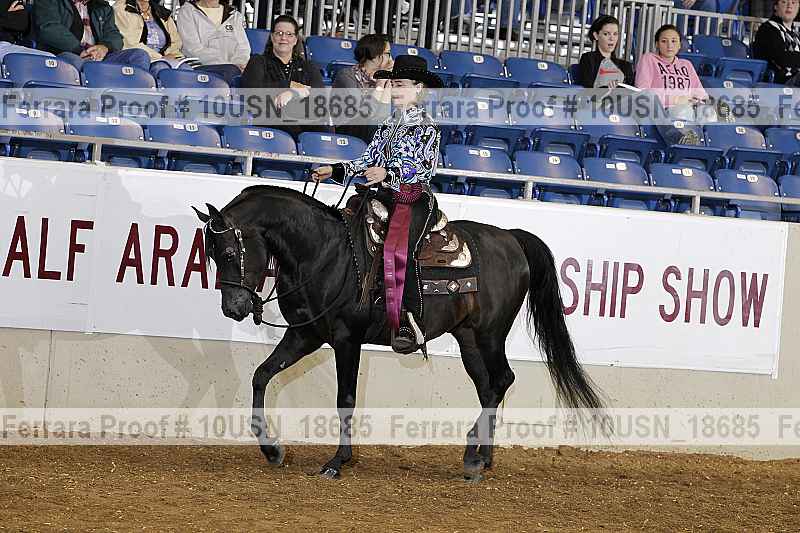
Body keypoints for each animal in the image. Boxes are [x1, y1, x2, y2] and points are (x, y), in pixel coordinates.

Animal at [193, 184, 603, 481]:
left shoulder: (346, 338)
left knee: (502, 379)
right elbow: (261, 375)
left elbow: (345, 398)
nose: (233, 308)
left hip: (490, 333)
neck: (324, 253)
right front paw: (272, 450)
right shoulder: (304, 335)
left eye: (228, 252)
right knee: (490, 386)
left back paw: (474, 454)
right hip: (468, 338)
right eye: (209, 254)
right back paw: (479, 458)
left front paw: (337, 462)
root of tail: (511, 238)